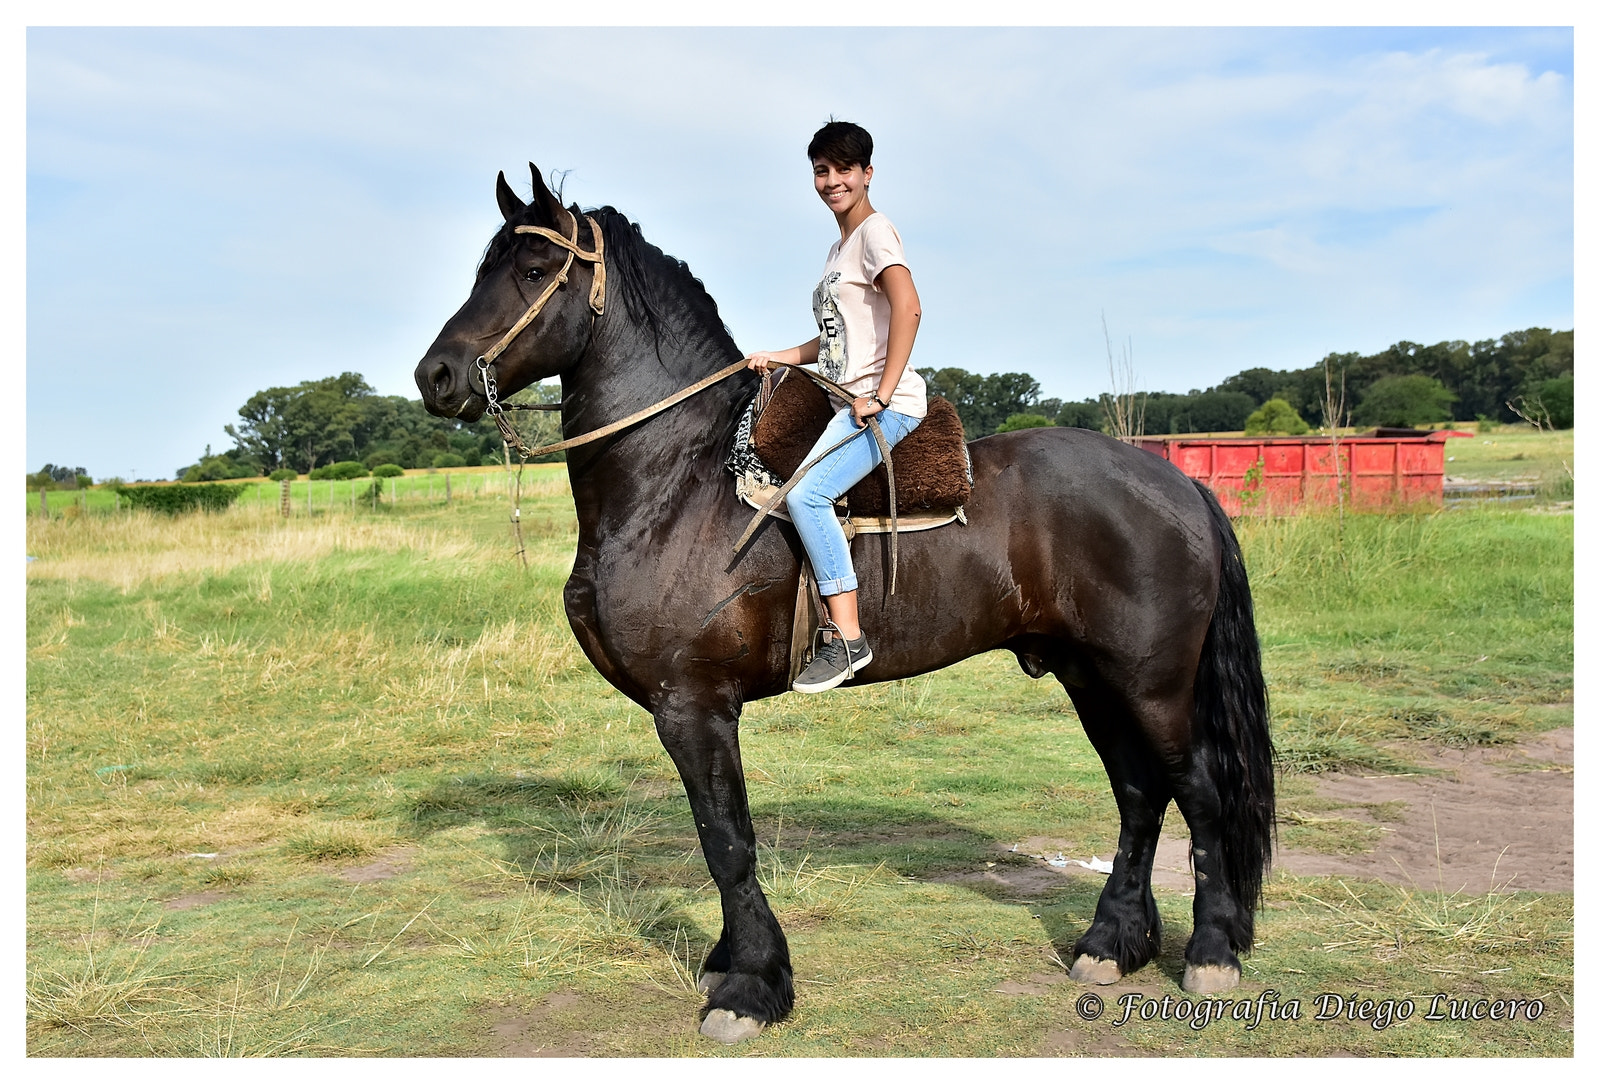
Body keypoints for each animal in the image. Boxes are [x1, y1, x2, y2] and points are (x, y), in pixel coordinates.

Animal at [415, 164, 1274, 1043]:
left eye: (529, 270)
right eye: (488, 265)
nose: (435, 376)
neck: (679, 480)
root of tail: (1179, 483)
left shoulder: (693, 704)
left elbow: (726, 841)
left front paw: (749, 987)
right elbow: (718, 836)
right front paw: (732, 961)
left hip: (1152, 684)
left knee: (1200, 794)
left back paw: (1210, 954)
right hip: (1090, 676)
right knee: (1140, 796)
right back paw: (1110, 942)